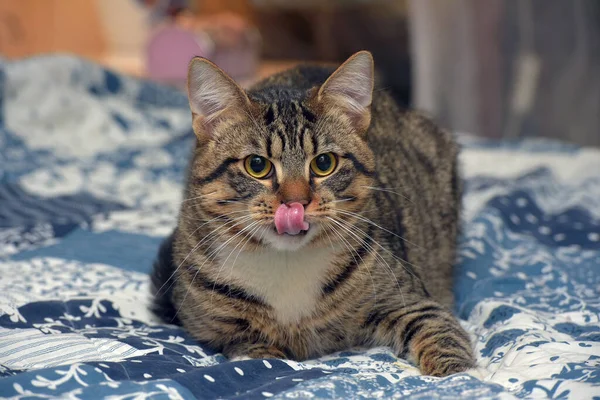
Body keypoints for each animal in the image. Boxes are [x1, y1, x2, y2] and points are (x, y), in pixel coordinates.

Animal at [152, 50, 476, 378]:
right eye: (257, 165)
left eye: (324, 163)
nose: (296, 202)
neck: (286, 263)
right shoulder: (215, 327)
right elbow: (254, 351)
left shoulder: (410, 299)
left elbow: (440, 332)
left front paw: (459, 377)